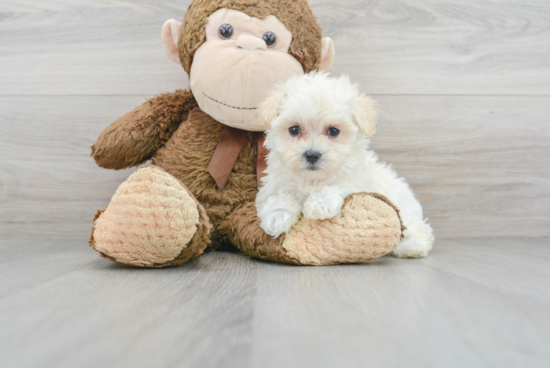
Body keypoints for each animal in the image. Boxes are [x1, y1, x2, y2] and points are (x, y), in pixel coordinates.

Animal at [258, 72, 436, 258]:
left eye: (333, 131)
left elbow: (339, 184)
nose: (312, 155)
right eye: (294, 130)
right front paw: (277, 217)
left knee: (419, 231)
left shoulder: (358, 180)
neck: (312, 179)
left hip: (406, 211)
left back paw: (412, 247)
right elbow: (278, 196)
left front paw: (321, 203)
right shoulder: (275, 184)